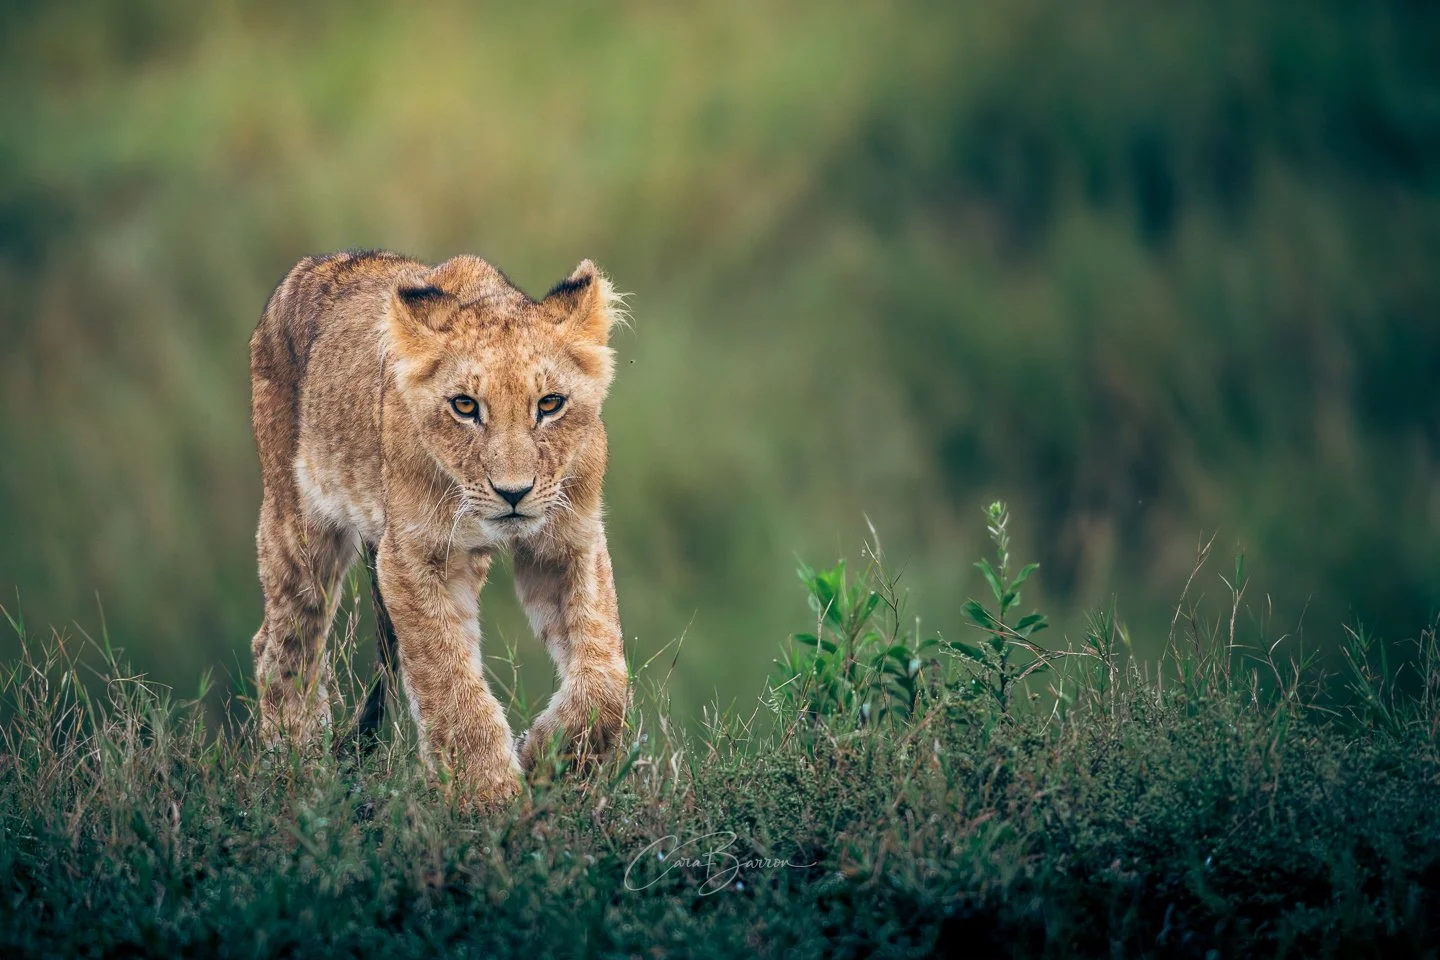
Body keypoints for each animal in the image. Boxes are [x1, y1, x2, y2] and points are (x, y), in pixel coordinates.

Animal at [248, 249, 630, 805]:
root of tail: (314, 264)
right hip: (297, 519)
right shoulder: (411, 556)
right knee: (284, 645)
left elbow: (606, 679)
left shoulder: (567, 542)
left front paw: (549, 759)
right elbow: (449, 679)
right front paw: (488, 797)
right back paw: (298, 773)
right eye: (465, 406)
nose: (513, 493)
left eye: (550, 404)